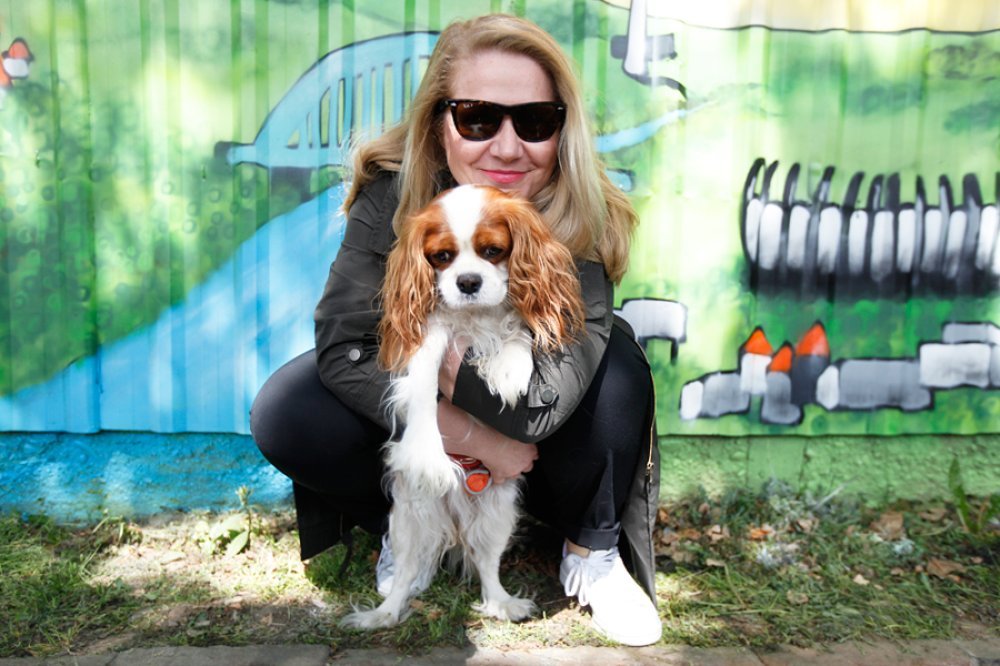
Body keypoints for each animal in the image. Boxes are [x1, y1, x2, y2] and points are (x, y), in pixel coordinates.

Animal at [340, 184, 585, 629]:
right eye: (442, 256)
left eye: (493, 251)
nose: (468, 281)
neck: (475, 317)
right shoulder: (430, 336)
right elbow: (423, 387)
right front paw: (426, 454)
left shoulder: (510, 321)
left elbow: (518, 334)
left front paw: (509, 368)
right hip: (410, 518)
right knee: (406, 571)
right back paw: (386, 613)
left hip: (497, 511)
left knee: (486, 564)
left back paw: (501, 603)